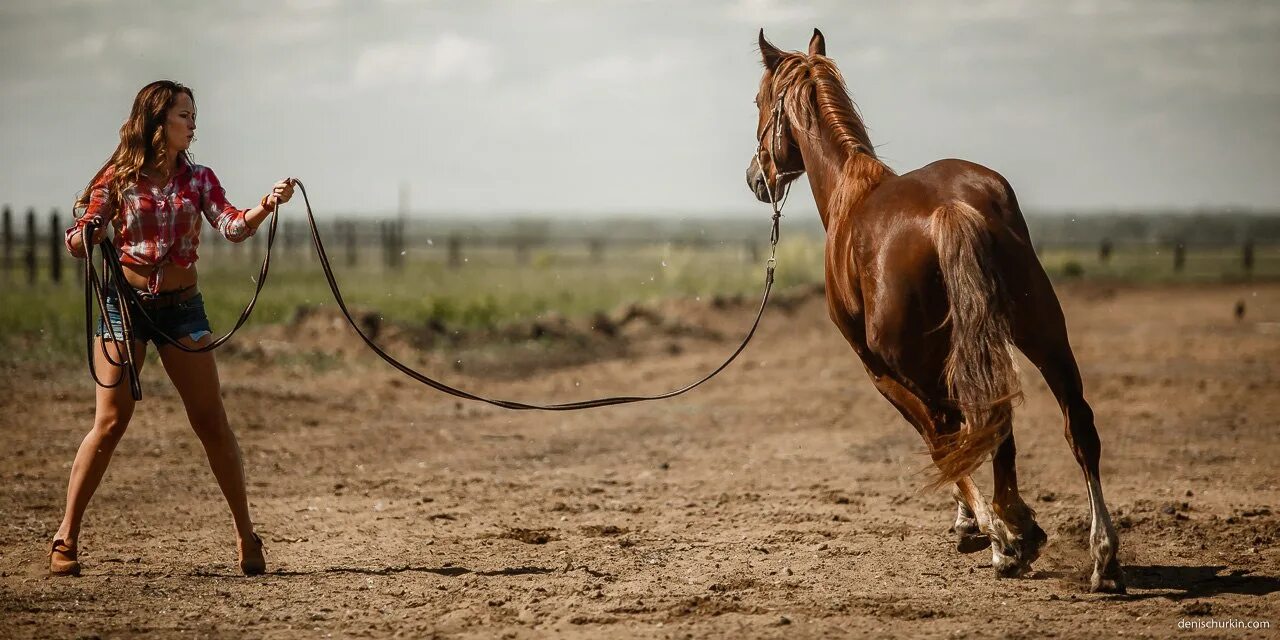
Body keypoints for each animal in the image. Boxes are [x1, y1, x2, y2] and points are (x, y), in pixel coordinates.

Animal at [747, 28, 1126, 588]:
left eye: (758, 101)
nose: (756, 177)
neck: (849, 194)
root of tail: (950, 207)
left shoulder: (878, 370)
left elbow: (938, 438)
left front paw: (984, 530)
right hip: (1041, 329)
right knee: (1072, 422)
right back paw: (1100, 556)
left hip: (919, 363)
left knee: (970, 424)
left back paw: (1008, 535)